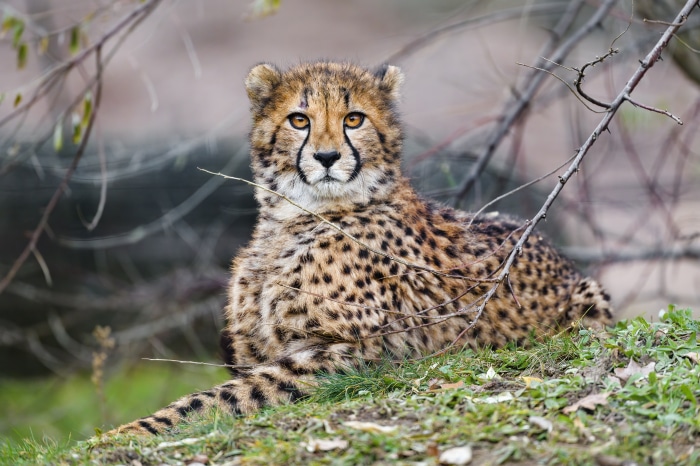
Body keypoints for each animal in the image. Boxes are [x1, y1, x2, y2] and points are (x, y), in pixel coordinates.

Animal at [109, 61, 613, 436]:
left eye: (354, 119)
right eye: (299, 119)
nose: (327, 157)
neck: (293, 219)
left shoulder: (359, 354)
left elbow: (221, 396)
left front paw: (124, 433)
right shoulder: (256, 352)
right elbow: (231, 385)